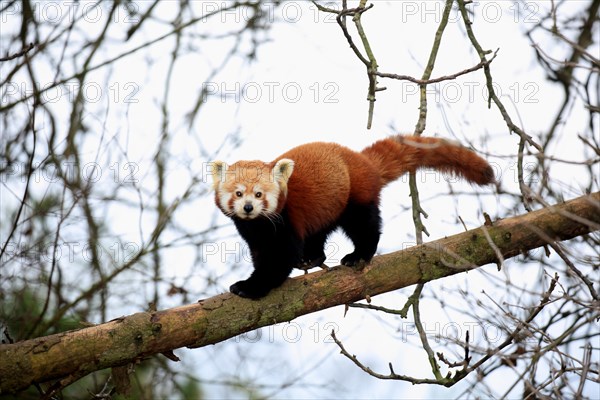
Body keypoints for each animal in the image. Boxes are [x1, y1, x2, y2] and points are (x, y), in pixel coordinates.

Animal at [209, 134, 494, 296]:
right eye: (238, 193)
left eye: (258, 194)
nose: (248, 208)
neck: (259, 225)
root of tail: (361, 160)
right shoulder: (254, 232)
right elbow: (261, 253)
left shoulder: (285, 221)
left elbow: (279, 260)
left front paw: (250, 287)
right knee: (319, 232)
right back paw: (312, 257)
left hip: (354, 197)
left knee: (364, 226)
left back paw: (359, 255)